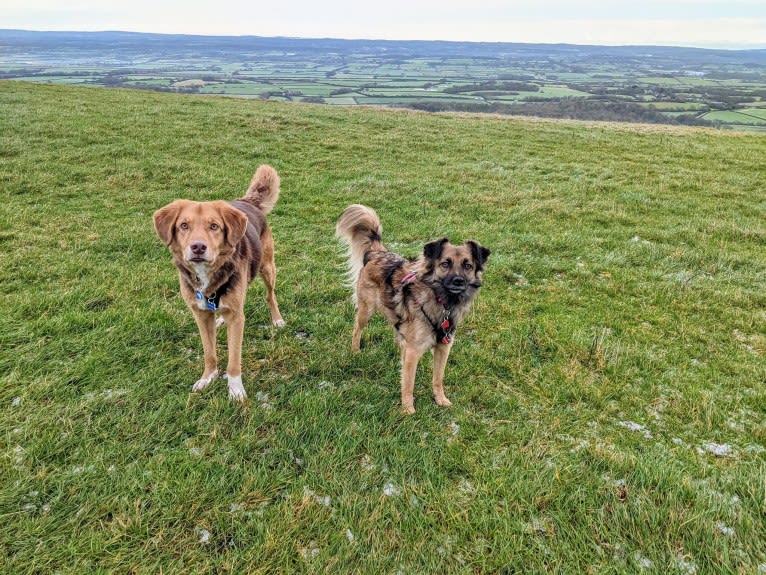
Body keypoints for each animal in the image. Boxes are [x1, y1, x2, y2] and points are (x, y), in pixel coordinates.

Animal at [154, 164, 286, 402]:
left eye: (214, 226)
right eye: (183, 226)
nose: (198, 247)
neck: (208, 275)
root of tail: (247, 202)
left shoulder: (237, 318)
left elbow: (234, 359)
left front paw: (235, 391)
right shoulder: (200, 314)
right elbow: (209, 352)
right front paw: (208, 377)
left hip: (268, 268)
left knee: (270, 296)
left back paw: (277, 320)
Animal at [336, 205, 492, 416]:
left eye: (468, 265)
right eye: (445, 264)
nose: (459, 281)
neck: (442, 302)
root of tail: (378, 253)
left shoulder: (444, 346)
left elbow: (438, 378)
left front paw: (440, 400)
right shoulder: (414, 351)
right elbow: (408, 383)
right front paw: (408, 409)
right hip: (366, 310)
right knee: (356, 330)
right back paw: (355, 351)